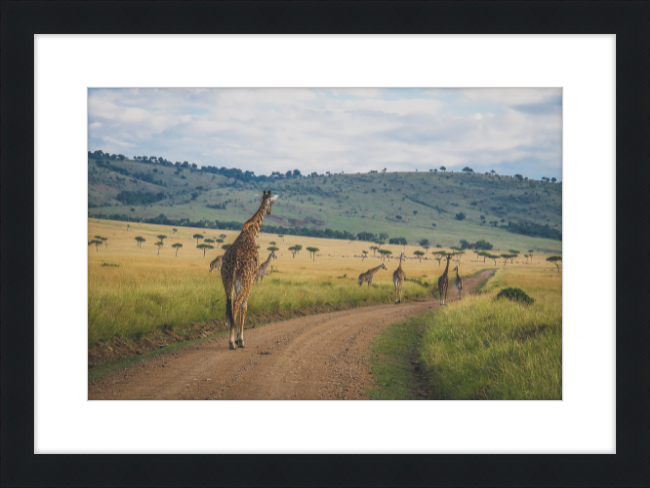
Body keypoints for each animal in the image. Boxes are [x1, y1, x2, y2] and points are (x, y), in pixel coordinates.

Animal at [221, 189, 278, 348]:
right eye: (271, 202)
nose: (270, 212)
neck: (251, 231)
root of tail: (234, 263)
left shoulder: (237, 283)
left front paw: (238, 337)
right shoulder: (251, 280)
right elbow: (244, 306)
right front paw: (240, 339)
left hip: (227, 281)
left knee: (229, 304)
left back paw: (231, 339)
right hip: (244, 281)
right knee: (237, 304)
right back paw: (232, 342)